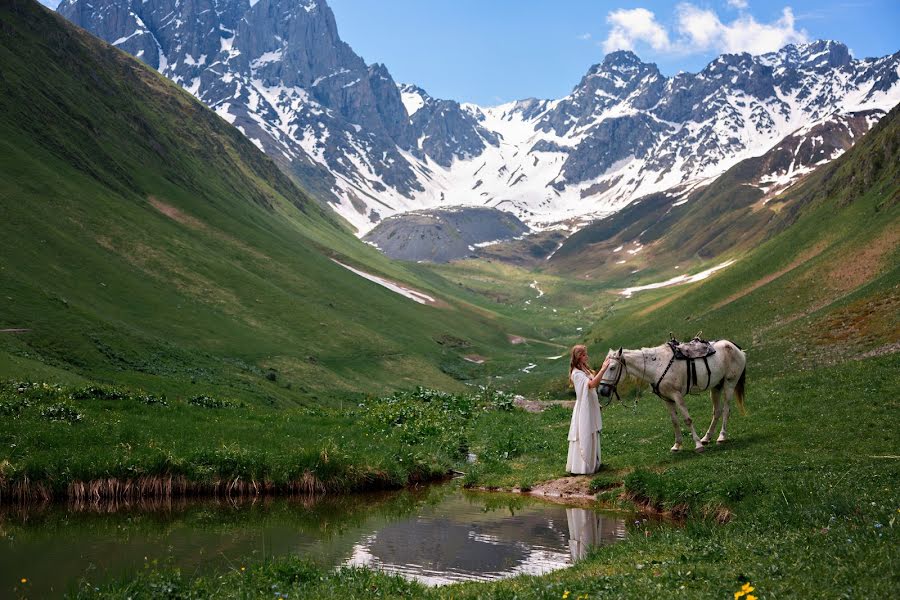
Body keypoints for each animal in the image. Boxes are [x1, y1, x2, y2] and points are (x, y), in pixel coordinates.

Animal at [596, 342, 744, 450]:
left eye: (612, 367)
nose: (602, 390)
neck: (656, 365)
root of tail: (736, 348)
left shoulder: (677, 395)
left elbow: (687, 419)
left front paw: (697, 445)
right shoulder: (667, 399)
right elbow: (674, 421)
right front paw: (677, 445)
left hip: (729, 384)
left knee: (726, 410)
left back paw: (721, 437)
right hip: (716, 386)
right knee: (717, 411)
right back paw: (706, 438)